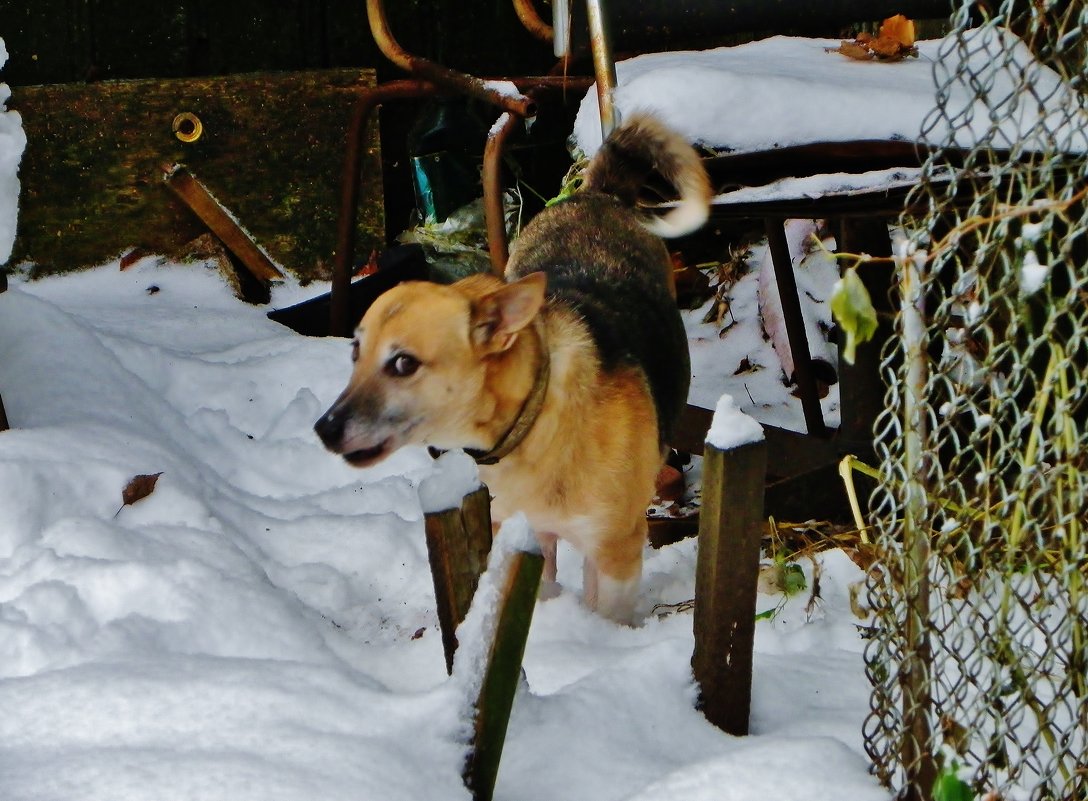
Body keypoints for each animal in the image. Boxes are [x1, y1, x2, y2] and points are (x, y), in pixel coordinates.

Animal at [315, 114, 709, 626]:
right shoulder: (523, 541)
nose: (324, 429)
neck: (535, 422)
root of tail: (593, 193)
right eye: (355, 352)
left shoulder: (617, 552)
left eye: (403, 363)